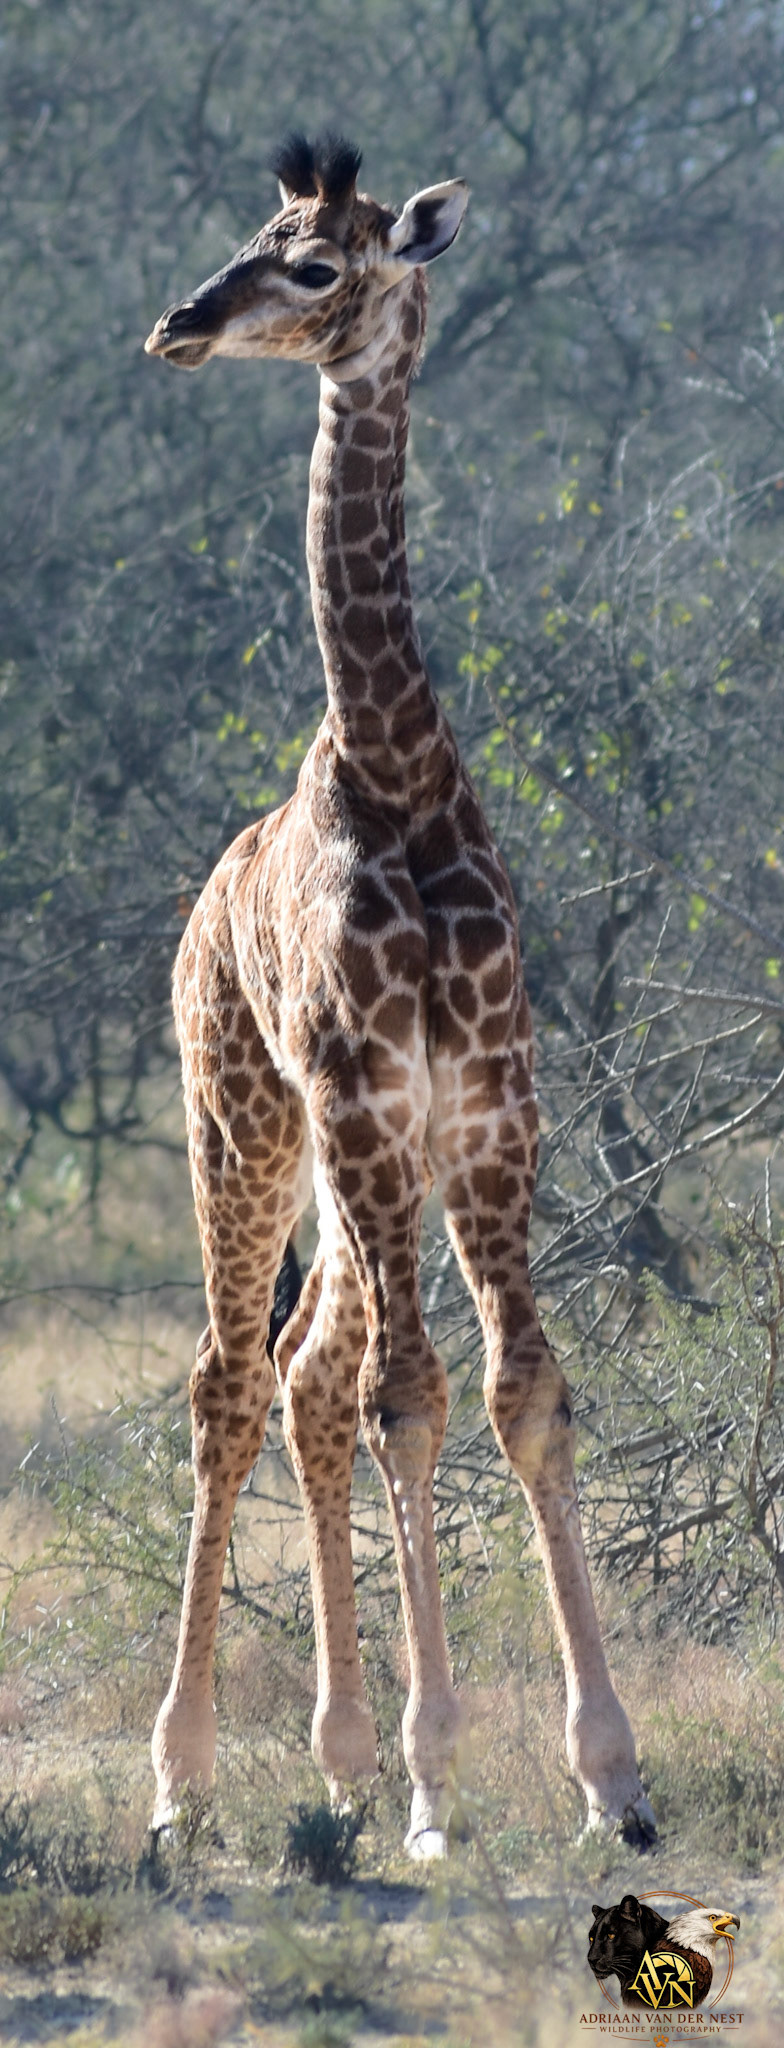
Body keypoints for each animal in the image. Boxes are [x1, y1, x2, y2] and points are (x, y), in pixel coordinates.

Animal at [144, 133, 655, 1859]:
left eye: (313, 264)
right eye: (252, 233)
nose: (177, 324)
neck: (400, 770)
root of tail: (195, 917)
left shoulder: (490, 1110)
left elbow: (523, 1394)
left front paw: (611, 1779)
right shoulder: (365, 1098)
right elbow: (414, 1400)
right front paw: (443, 1786)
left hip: (367, 1171)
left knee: (306, 1378)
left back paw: (342, 1764)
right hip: (245, 1125)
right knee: (235, 1381)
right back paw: (187, 1784)